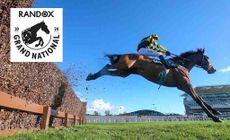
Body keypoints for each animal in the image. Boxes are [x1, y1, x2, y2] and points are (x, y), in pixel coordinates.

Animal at [86, 48, 223, 122]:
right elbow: (198, 100)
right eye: (207, 59)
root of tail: (124, 54)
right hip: (124, 65)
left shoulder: (185, 87)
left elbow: (201, 99)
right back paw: (91, 75)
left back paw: (92, 77)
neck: (181, 65)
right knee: (107, 66)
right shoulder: (185, 86)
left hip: (124, 72)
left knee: (109, 71)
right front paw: (214, 117)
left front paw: (216, 111)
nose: (213, 69)